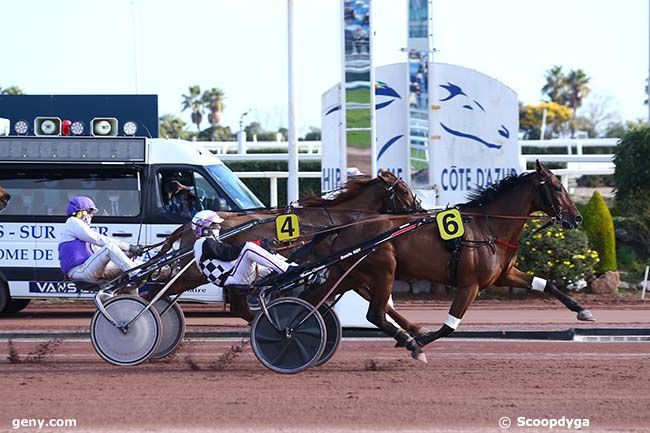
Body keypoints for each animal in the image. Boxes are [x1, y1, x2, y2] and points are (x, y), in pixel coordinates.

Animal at [146, 169, 426, 320]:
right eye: (403, 191)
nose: (420, 209)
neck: (337, 222)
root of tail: (188, 226)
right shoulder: (344, 269)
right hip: (194, 273)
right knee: (155, 291)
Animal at [302, 161, 588, 362]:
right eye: (557, 187)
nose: (576, 218)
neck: (488, 227)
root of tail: (347, 227)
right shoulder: (469, 285)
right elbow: (450, 326)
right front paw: (418, 343)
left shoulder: (504, 275)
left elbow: (546, 283)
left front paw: (582, 310)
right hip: (383, 271)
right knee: (375, 313)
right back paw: (409, 340)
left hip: (350, 274)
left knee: (311, 302)